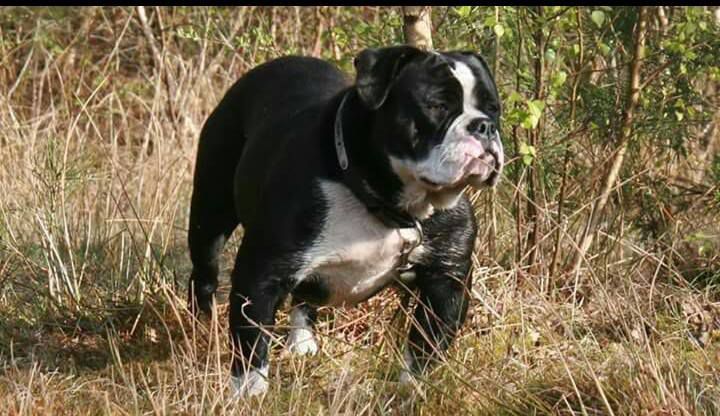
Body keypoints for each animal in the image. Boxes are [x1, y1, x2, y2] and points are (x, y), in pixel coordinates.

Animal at [188, 45, 504, 396]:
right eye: (436, 106)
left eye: (494, 109)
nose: (484, 126)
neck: (386, 202)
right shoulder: (260, 275)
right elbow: (251, 346)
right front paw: (249, 396)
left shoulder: (447, 281)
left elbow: (424, 347)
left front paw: (410, 390)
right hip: (210, 214)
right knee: (204, 272)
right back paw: (201, 329)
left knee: (303, 297)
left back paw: (302, 343)